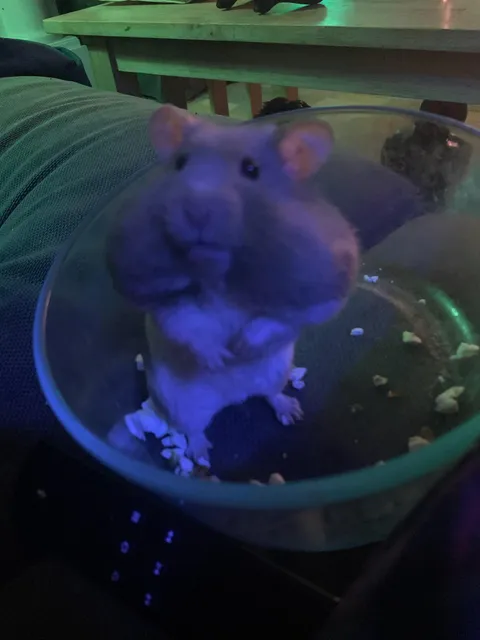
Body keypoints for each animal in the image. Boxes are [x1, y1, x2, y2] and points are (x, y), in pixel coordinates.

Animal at [107, 105, 359, 463]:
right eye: (180, 164)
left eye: (251, 170)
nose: (196, 211)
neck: (220, 274)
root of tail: (235, 397)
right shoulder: (164, 303)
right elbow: (189, 323)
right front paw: (220, 358)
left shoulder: (318, 291)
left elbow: (273, 320)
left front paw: (240, 348)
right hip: (181, 403)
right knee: (194, 429)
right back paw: (200, 456)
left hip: (277, 371)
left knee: (269, 395)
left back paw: (290, 411)